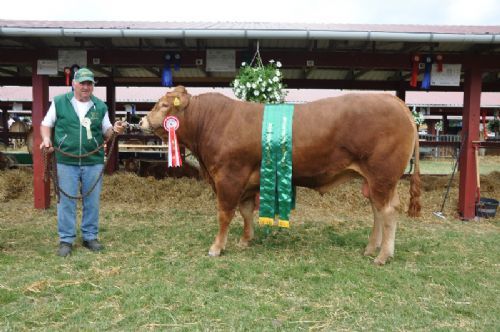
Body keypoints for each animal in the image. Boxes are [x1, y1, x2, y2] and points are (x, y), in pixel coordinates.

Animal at [139, 85, 420, 264]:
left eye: (164, 105)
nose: (141, 121)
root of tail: (396, 102)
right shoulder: (246, 181)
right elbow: (245, 212)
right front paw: (245, 240)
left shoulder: (229, 177)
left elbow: (224, 214)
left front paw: (216, 248)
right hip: (374, 180)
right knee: (377, 211)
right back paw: (371, 248)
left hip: (382, 176)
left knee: (387, 212)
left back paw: (383, 256)